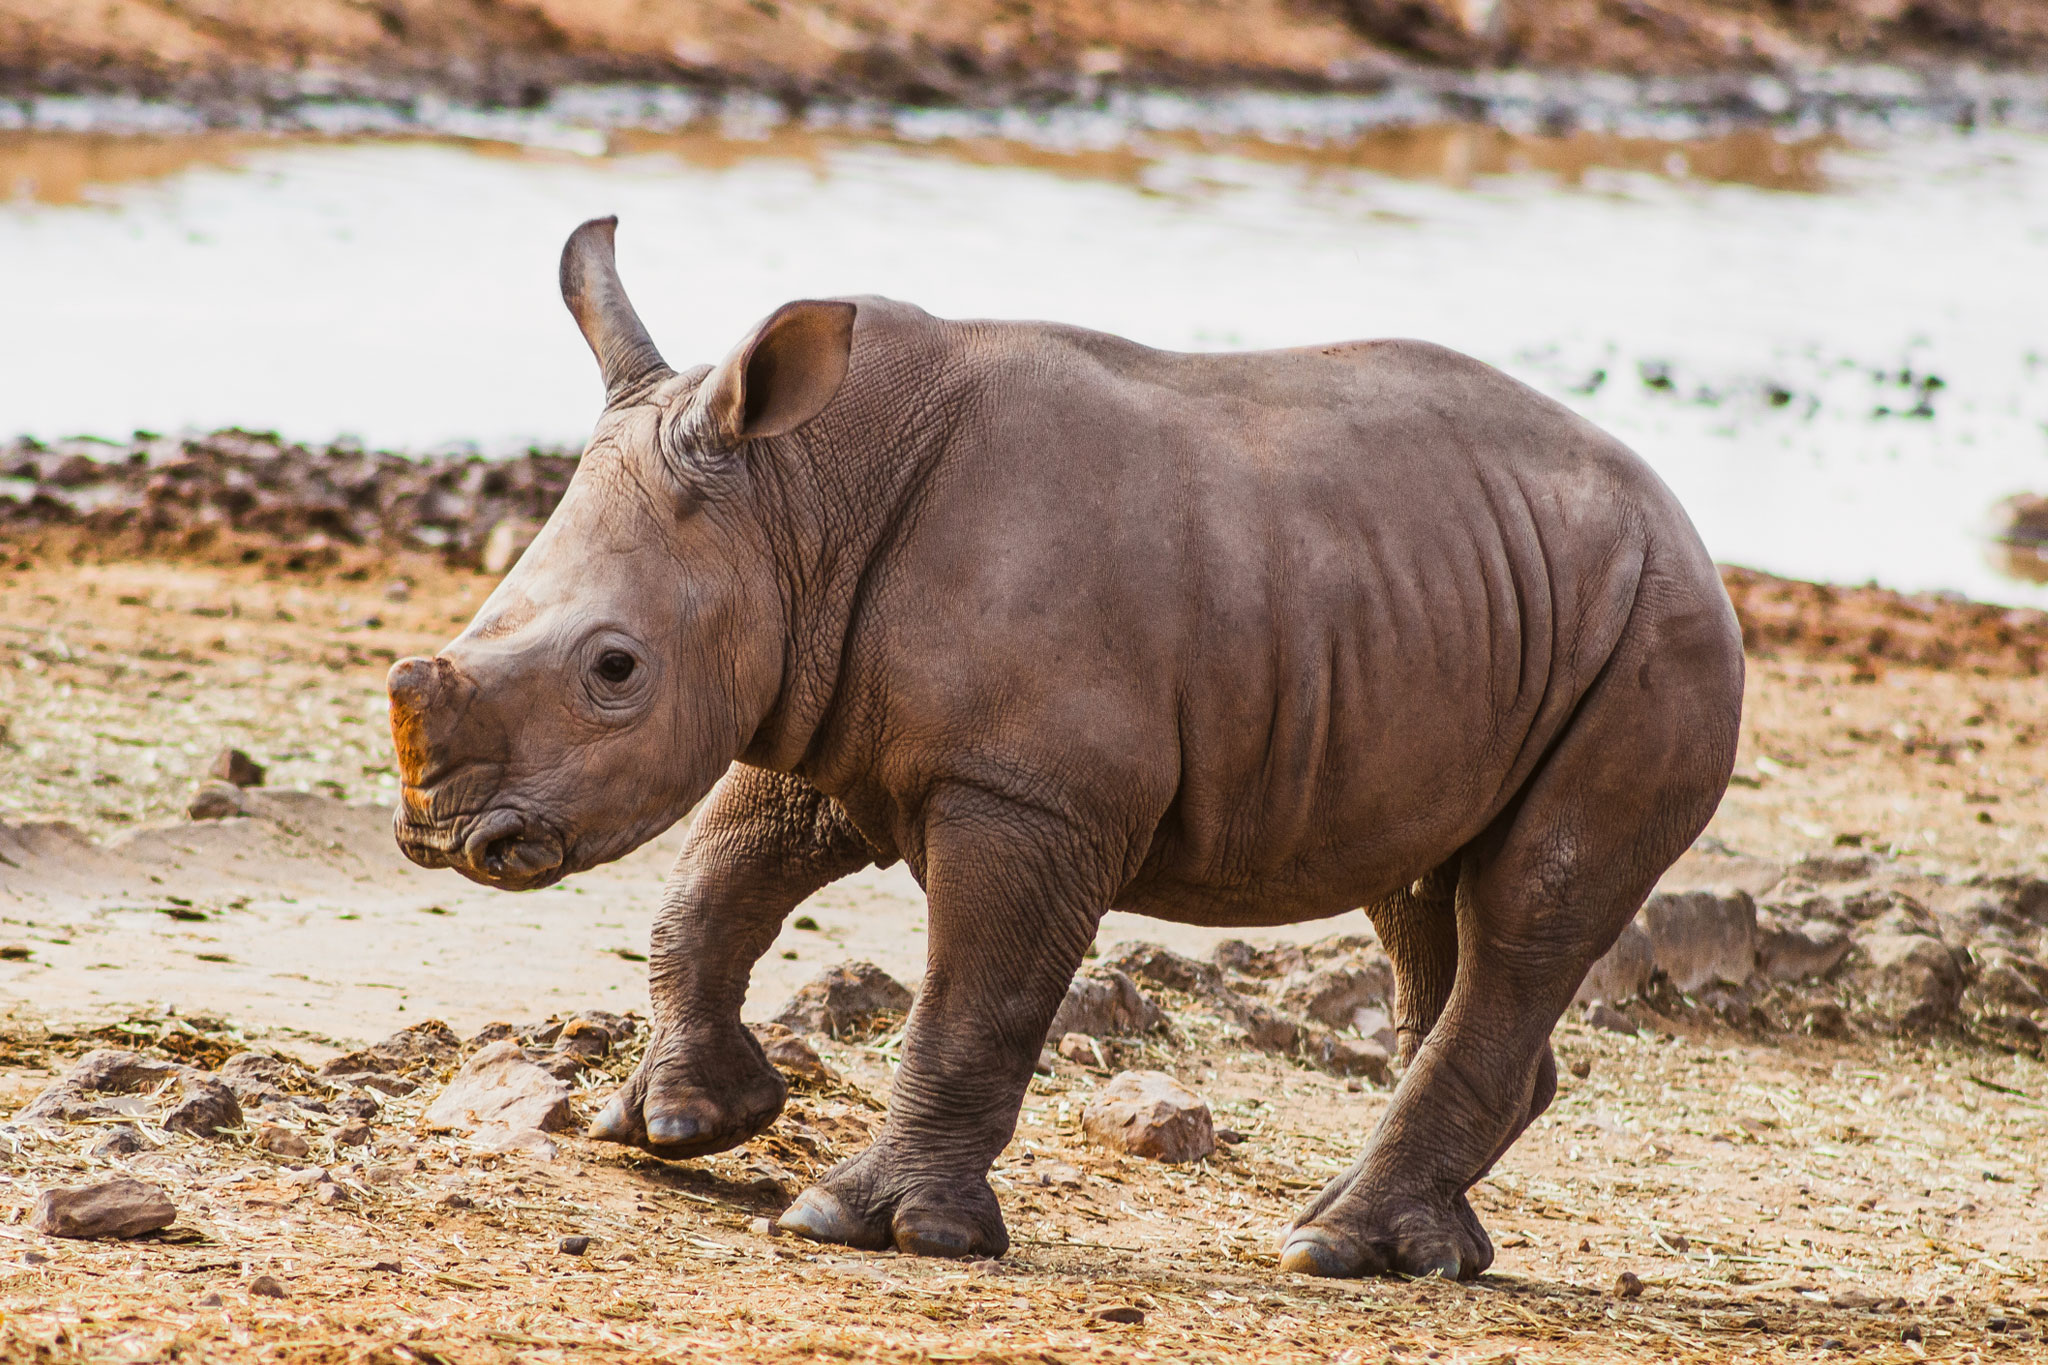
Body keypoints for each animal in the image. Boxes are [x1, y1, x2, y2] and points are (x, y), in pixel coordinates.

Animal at [395, 215, 1744, 1285]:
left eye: (614, 670)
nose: (444, 836)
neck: (797, 499)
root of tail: (1678, 519)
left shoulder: (1028, 791)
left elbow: (971, 998)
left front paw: (868, 1225)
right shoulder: (820, 709)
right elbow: (710, 886)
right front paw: (675, 1127)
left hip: (1655, 631)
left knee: (1527, 902)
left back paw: (1329, 1246)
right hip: (1464, 601)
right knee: (1426, 902)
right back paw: (1413, 1251)